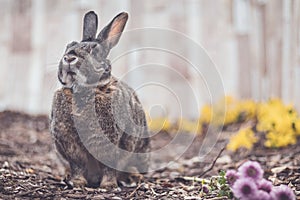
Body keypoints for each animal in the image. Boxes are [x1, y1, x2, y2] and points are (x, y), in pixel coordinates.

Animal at [50, 10, 152, 188]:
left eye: (95, 51)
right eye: (68, 46)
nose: (69, 58)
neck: (84, 89)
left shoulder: (109, 140)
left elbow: (109, 166)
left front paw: (108, 185)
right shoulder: (69, 143)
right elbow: (77, 164)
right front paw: (77, 182)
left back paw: (134, 178)